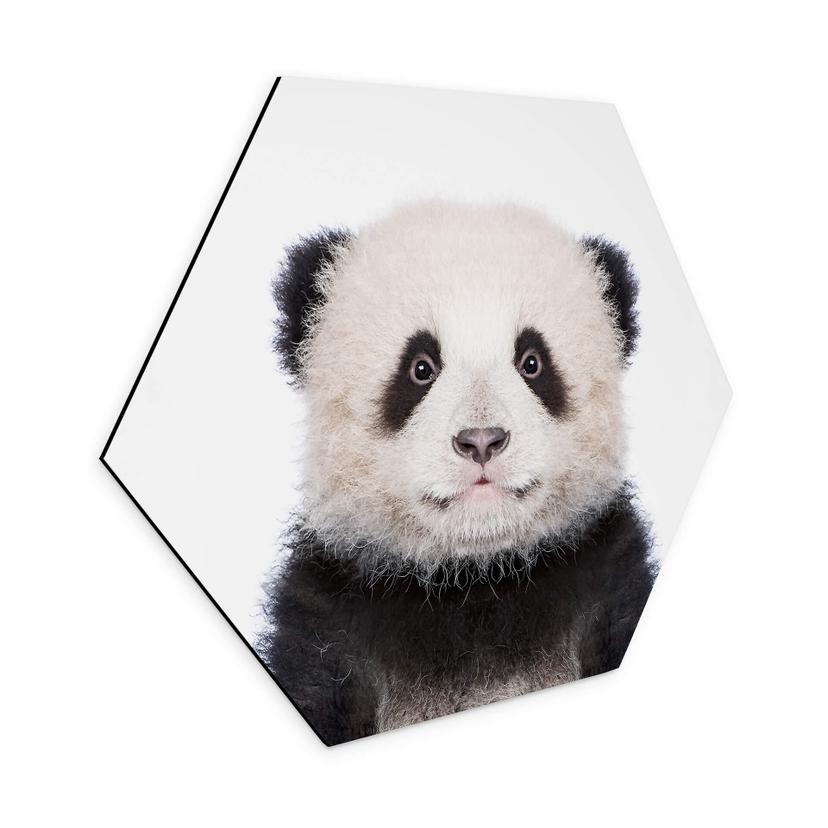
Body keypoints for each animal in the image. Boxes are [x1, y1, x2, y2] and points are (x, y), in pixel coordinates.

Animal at [259, 200, 656, 745]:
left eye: (532, 362)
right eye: (420, 367)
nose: (482, 440)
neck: (474, 581)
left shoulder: (605, 583)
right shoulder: (329, 628)